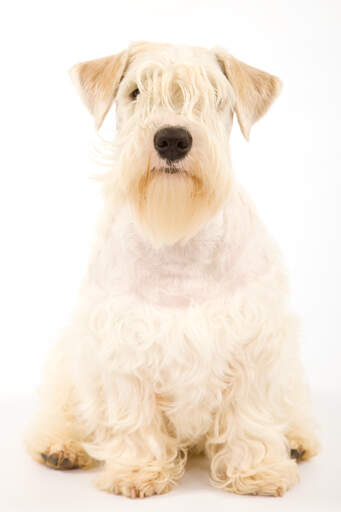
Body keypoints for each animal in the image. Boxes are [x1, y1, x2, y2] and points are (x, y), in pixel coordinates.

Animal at [24, 42, 318, 498]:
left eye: (216, 95)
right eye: (135, 91)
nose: (173, 139)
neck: (179, 242)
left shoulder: (253, 342)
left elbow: (249, 415)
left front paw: (258, 472)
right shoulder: (123, 345)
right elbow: (135, 417)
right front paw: (137, 471)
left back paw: (296, 442)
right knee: (63, 410)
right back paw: (60, 446)